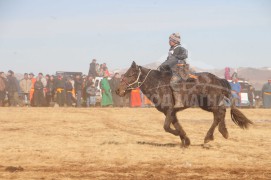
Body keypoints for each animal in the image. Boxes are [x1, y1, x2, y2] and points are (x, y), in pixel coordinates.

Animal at [116, 61, 253, 147]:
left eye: (130, 74)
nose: (118, 90)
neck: (158, 84)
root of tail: (218, 79)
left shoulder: (169, 110)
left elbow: (166, 127)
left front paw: (181, 136)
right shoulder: (170, 112)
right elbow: (176, 125)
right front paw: (185, 140)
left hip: (210, 103)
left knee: (219, 113)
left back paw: (209, 137)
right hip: (206, 105)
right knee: (221, 112)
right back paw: (223, 132)